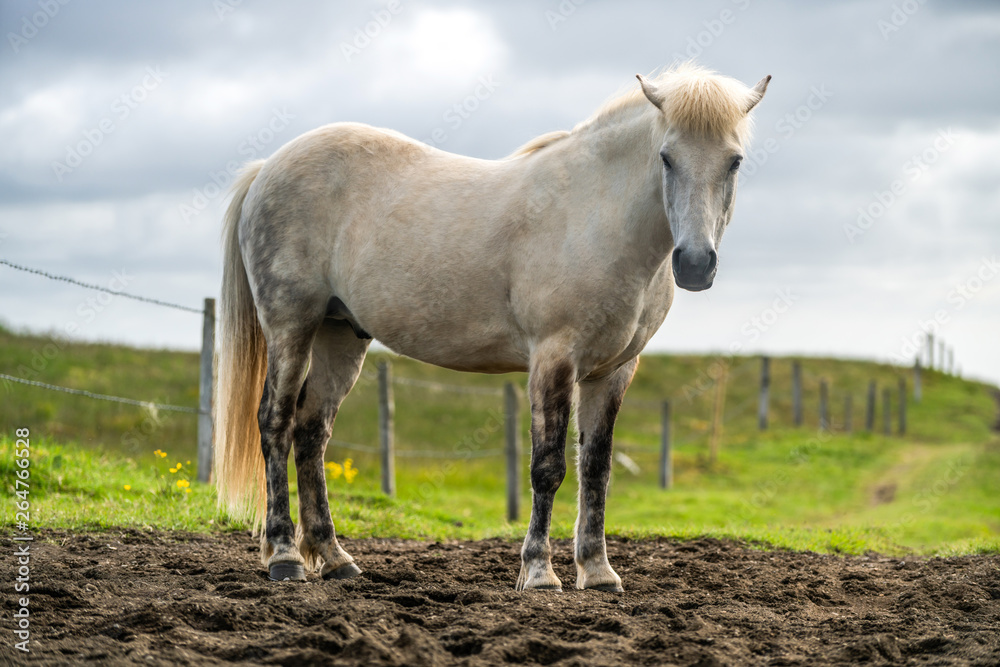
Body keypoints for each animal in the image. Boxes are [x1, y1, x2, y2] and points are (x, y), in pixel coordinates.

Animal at [215, 65, 768, 588]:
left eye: (734, 161)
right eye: (666, 158)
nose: (695, 264)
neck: (596, 218)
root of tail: (268, 168)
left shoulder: (613, 371)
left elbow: (596, 470)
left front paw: (597, 571)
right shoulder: (553, 359)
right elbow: (548, 467)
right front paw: (539, 572)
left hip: (341, 335)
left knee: (311, 433)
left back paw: (335, 559)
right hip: (291, 325)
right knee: (275, 423)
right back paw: (285, 556)